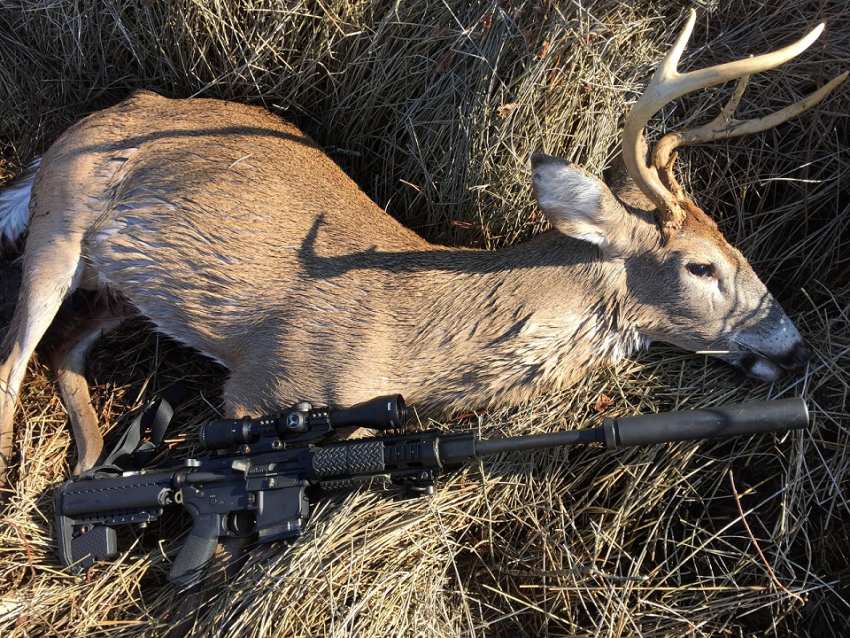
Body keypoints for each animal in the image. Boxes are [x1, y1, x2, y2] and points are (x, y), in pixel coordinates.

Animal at [0, 8, 840, 484]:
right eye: (702, 265)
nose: (796, 348)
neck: (416, 338)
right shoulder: (261, 381)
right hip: (60, 222)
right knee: (13, 360)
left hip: (118, 288)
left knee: (64, 348)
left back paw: (91, 460)